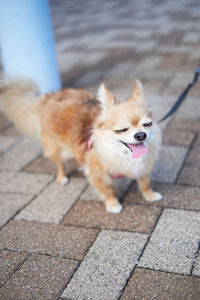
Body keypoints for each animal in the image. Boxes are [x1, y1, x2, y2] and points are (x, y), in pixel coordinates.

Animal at [0, 77, 162, 213]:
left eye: (147, 124)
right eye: (121, 130)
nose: (140, 135)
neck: (123, 155)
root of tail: (47, 97)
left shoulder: (143, 167)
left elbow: (145, 183)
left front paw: (150, 195)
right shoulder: (99, 175)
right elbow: (108, 190)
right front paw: (113, 205)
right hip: (59, 150)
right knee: (59, 163)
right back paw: (62, 178)